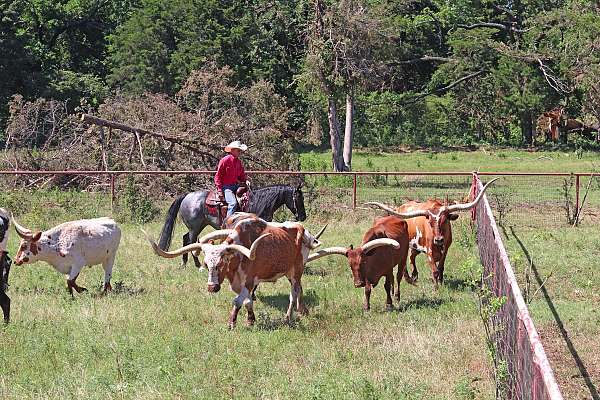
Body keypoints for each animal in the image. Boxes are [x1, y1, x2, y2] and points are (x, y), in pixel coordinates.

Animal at [157, 185, 308, 268]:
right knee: (191, 241)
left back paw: (184, 262)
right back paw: (197, 264)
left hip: (198, 226)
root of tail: (187, 195)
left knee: (185, 239)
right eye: (299, 198)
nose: (303, 217)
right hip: (194, 228)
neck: (257, 202)